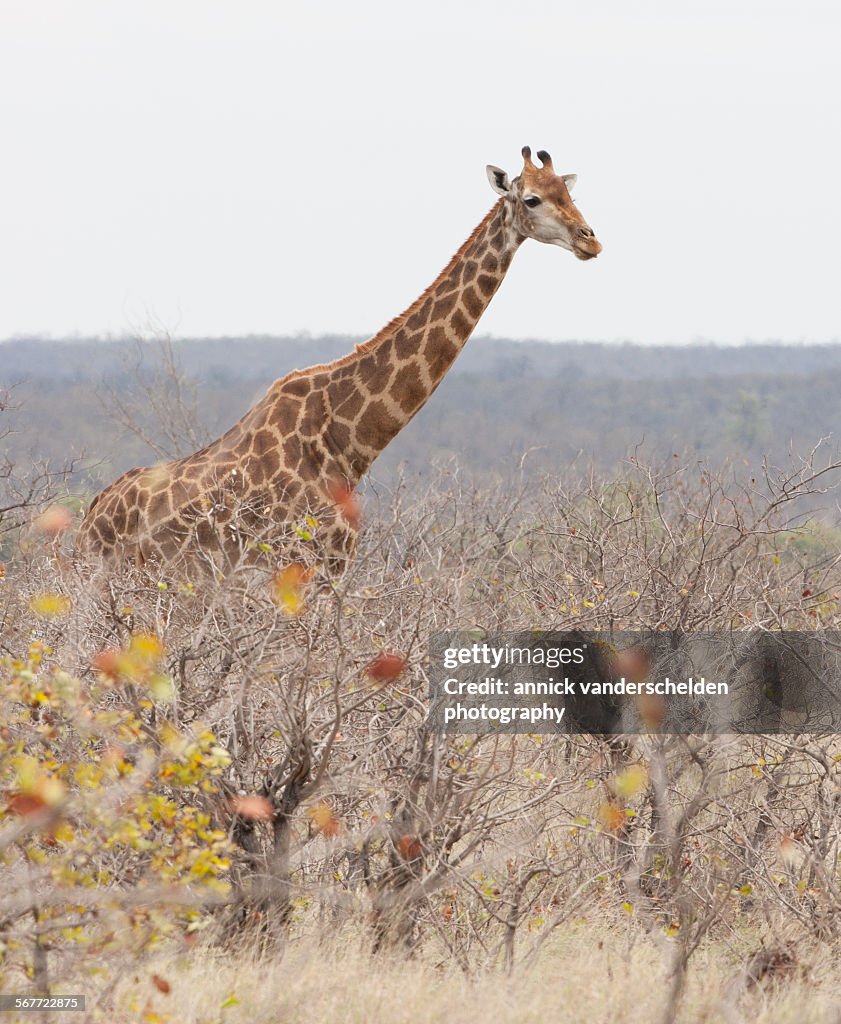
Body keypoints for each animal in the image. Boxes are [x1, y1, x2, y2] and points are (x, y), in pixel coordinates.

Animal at [72, 147, 598, 573]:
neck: (349, 440)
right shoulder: (299, 565)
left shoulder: (333, 565)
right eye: (531, 199)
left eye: (568, 193)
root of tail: (84, 524)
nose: (590, 240)